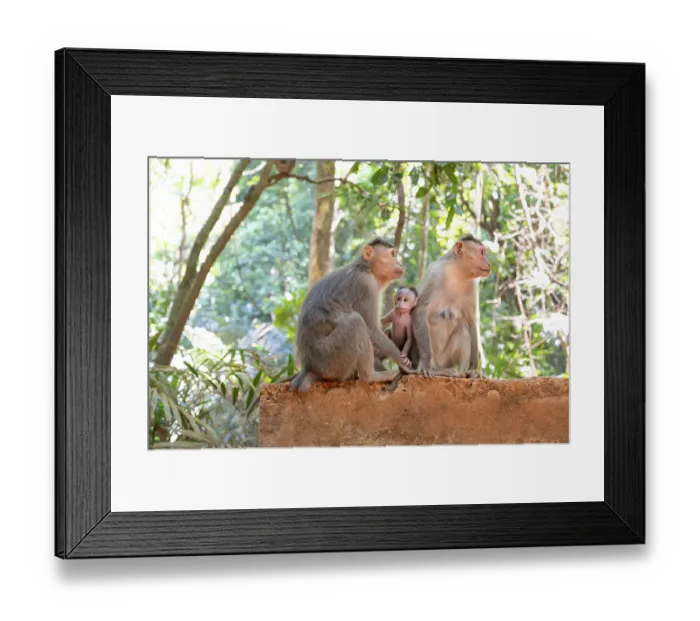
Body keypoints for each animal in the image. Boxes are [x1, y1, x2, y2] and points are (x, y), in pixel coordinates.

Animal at [290, 238, 414, 393]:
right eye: (392, 255)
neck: (365, 268)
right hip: (330, 359)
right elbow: (371, 329)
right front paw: (403, 362)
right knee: (356, 322)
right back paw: (370, 376)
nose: (400, 264)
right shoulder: (366, 285)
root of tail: (309, 367)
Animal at [408, 235, 491, 378]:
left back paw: (462, 373)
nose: (488, 263)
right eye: (481, 252)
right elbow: (420, 310)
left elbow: (471, 321)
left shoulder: (472, 285)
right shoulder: (436, 274)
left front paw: (473, 369)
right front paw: (425, 365)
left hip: (448, 359)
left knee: (463, 328)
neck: (457, 274)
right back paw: (437, 370)